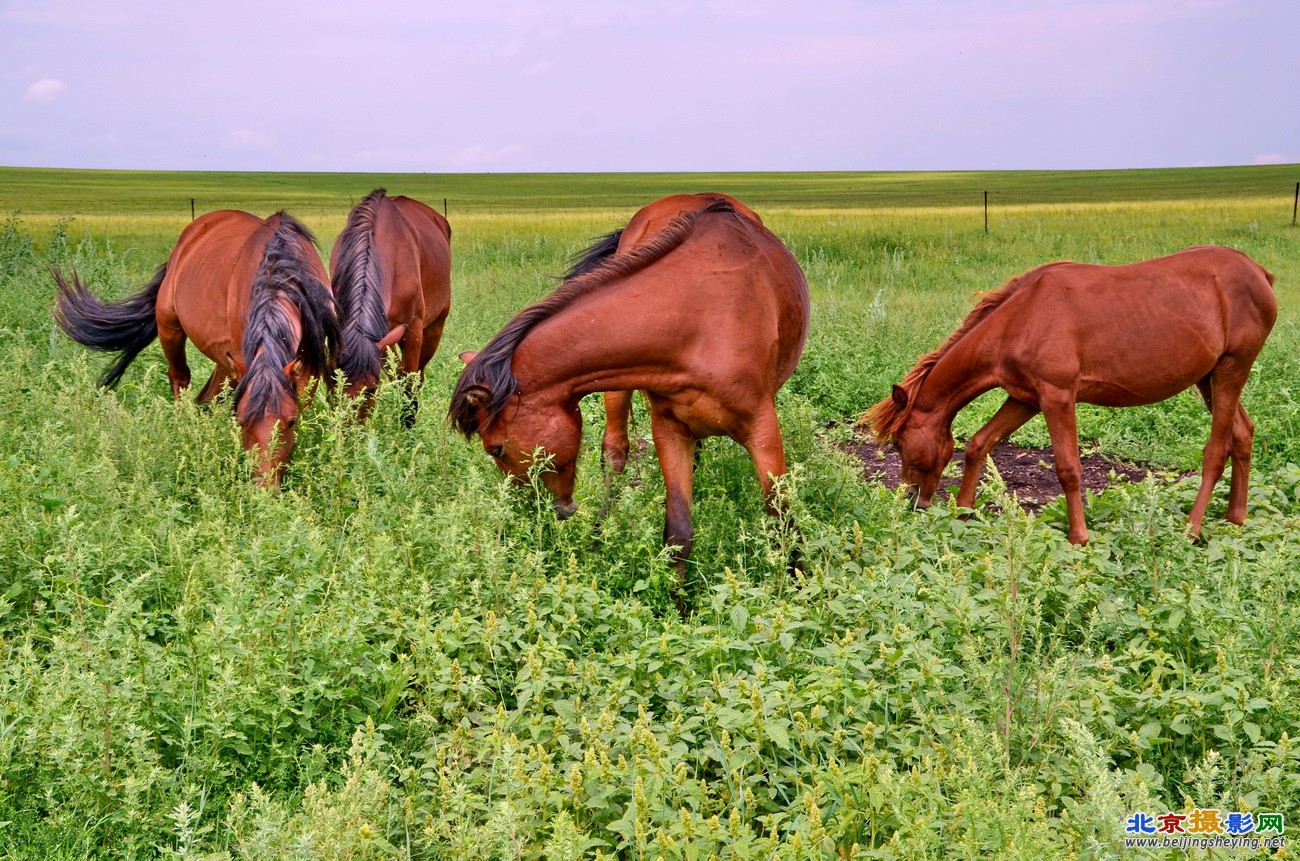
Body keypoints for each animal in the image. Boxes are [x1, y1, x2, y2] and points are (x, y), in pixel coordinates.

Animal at [52, 211, 338, 489]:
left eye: (291, 422)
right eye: (241, 421)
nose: (263, 490)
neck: (280, 273)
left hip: (224, 362)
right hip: (170, 327)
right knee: (180, 377)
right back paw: (186, 430)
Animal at [330, 187, 452, 423]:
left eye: (370, 389)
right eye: (335, 387)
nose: (350, 430)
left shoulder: (412, 332)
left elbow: (409, 382)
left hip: (435, 326)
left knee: (418, 375)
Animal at [452, 192, 806, 611]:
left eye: (496, 448)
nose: (534, 515)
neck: (697, 318)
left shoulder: (763, 430)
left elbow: (782, 520)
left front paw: (801, 590)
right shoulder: (670, 430)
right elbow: (678, 529)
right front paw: (677, 607)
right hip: (616, 388)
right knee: (615, 451)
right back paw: (598, 532)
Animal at [863, 245, 1279, 546]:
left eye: (898, 443)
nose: (914, 501)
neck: (1020, 319)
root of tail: (1258, 271)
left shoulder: (1058, 397)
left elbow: (1068, 468)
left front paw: (1079, 537)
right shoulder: (1025, 398)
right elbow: (980, 444)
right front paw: (964, 512)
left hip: (1231, 369)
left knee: (1216, 450)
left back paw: (1191, 530)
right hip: (1210, 378)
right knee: (1243, 432)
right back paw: (1235, 518)